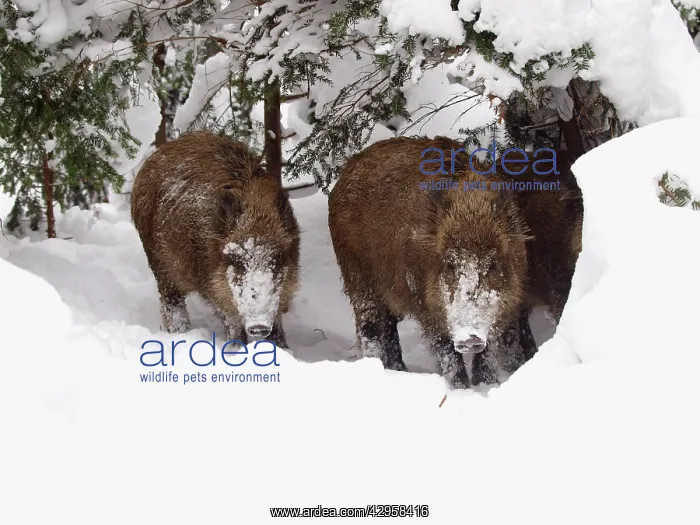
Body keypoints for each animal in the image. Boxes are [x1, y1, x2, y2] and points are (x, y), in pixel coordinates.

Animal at [130, 131, 300, 348]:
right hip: (159, 265)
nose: (258, 326)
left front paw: (283, 349)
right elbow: (231, 320)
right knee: (171, 302)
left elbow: (277, 321)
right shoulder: (211, 284)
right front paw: (235, 349)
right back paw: (179, 333)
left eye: (277, 258)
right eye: (237, 261)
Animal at [328, 136, 531, 389]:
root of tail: (346, 169)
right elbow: (447, 351)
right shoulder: (425, 304)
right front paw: (461, 389)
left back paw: (400, 370)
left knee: (389, 326)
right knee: (369, 327)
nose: (469, 339)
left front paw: (486, 385)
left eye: (492, 264)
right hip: (355, 277)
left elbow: (488, 351)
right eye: (450, 265)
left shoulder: (506, 305)